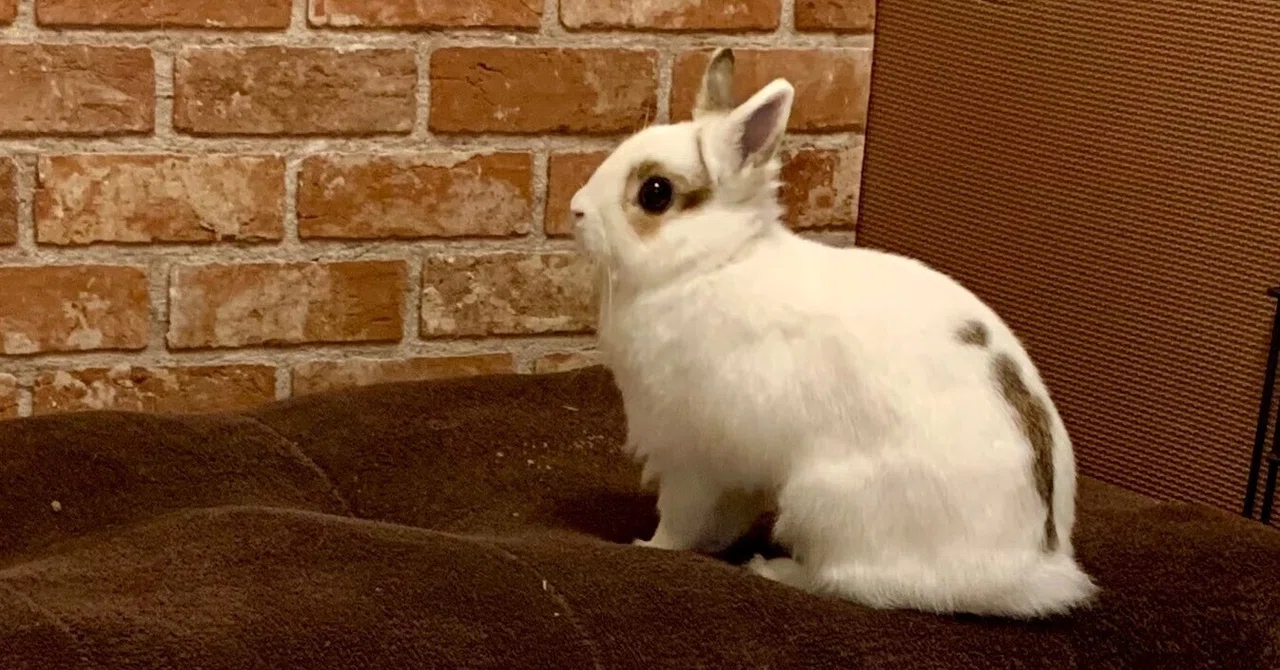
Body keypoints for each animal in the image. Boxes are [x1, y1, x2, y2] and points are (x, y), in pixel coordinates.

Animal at [567, 47, 1097, 619]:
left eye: (655, 193)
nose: (575, 210)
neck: (711, 263)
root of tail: (1028, 571)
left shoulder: (694, 456)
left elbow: (680, 520)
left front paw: (649, 547)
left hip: (824, 502)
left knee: (849, 582)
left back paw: (773, 568)